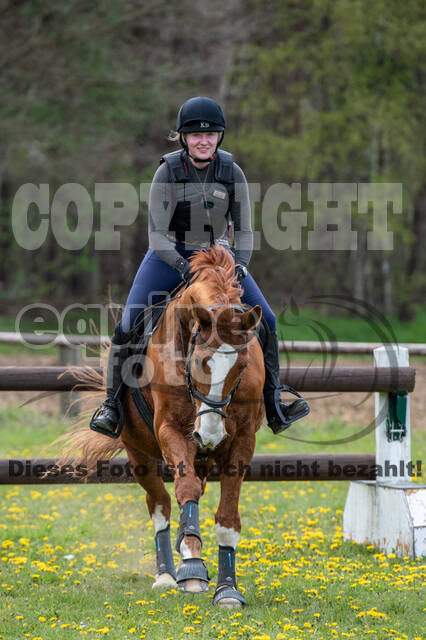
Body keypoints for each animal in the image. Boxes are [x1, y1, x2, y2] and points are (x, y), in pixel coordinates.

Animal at [62, 248, 264, 608]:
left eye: (241, 365)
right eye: (199, 362)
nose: (210, 434)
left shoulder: (242, 441)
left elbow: (227, 518)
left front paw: (227, 589)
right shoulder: (170, 430)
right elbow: (185, 490)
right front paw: (192, 567)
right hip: (139, 453)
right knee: (161, 504)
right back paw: (169, 574)